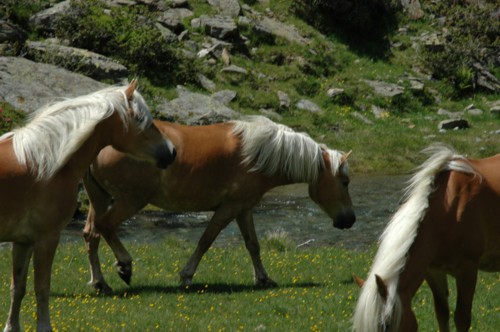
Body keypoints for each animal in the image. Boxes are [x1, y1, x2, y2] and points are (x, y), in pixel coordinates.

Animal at [0, 81, 176, 332]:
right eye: (144, 120)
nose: (171, 152)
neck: (43, 164)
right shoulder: (47, 238)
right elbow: (41, 288)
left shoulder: (23, 241)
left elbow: (18, 288)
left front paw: (11, 326)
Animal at [82, 116, 356, 294]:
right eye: (345, 182)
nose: (350, 219)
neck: (257, 153)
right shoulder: (229, 208)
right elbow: (206, 241)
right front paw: (186, 275)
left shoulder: (244, 208)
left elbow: (253, 245)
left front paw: (263, 278)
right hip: (131, 201)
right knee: (105, 227)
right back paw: (124, 265)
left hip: (100, 198)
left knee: (91, 234)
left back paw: (100, 283)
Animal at [352, 145, 500, 332]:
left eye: (385, 326)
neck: (448, 211)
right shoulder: (433, 271)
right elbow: (442, 313)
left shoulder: (468, 270)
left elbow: (462, 319)